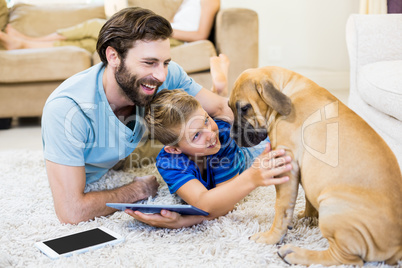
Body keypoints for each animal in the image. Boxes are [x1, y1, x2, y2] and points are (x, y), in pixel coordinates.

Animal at [228, 66, 400, 264]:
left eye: (245, 108)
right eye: (230, 107)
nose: (232, 136)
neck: (287, 90)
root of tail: (397, 246)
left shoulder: (286, 165)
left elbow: (281, 209)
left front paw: (270, 238)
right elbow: (307, 197)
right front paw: (307, 217)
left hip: (332, 208)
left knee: (345, 259)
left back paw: (295, 253)